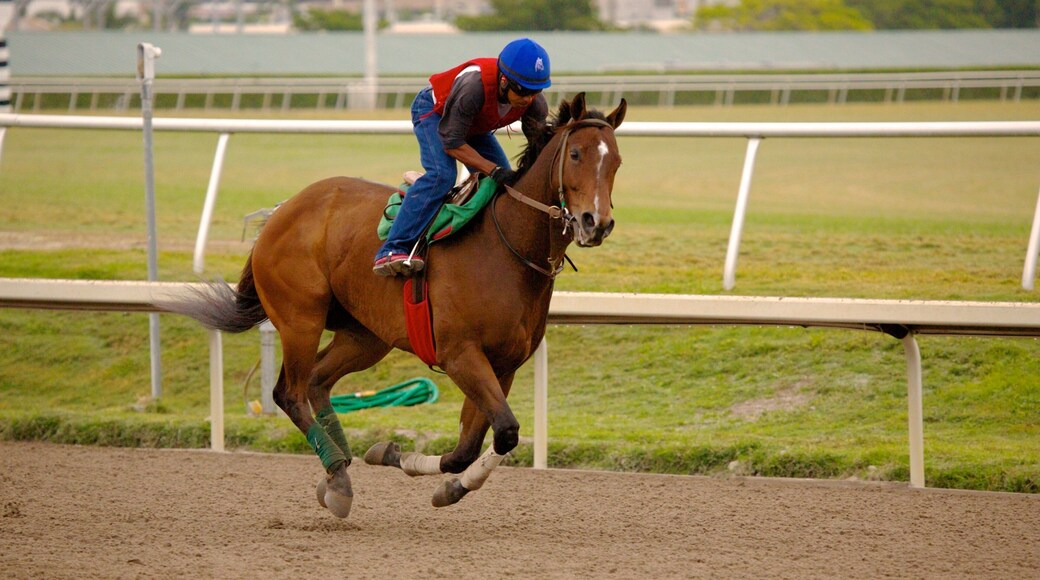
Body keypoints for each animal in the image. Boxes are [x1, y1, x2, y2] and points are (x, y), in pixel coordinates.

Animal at [167, 92, 626, 518]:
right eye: (575, 154)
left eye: (617, 161)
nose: (596, 223)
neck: (506, 249)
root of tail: (283, 211)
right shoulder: (460, 354)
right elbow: (503, 431)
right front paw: (403, 460)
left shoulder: (504, 365)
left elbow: (477, 442)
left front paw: (425, 473)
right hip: (301, 318)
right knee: (290, 392)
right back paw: (338, 479)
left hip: (366, 336)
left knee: (316, 379)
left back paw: (338, 467)